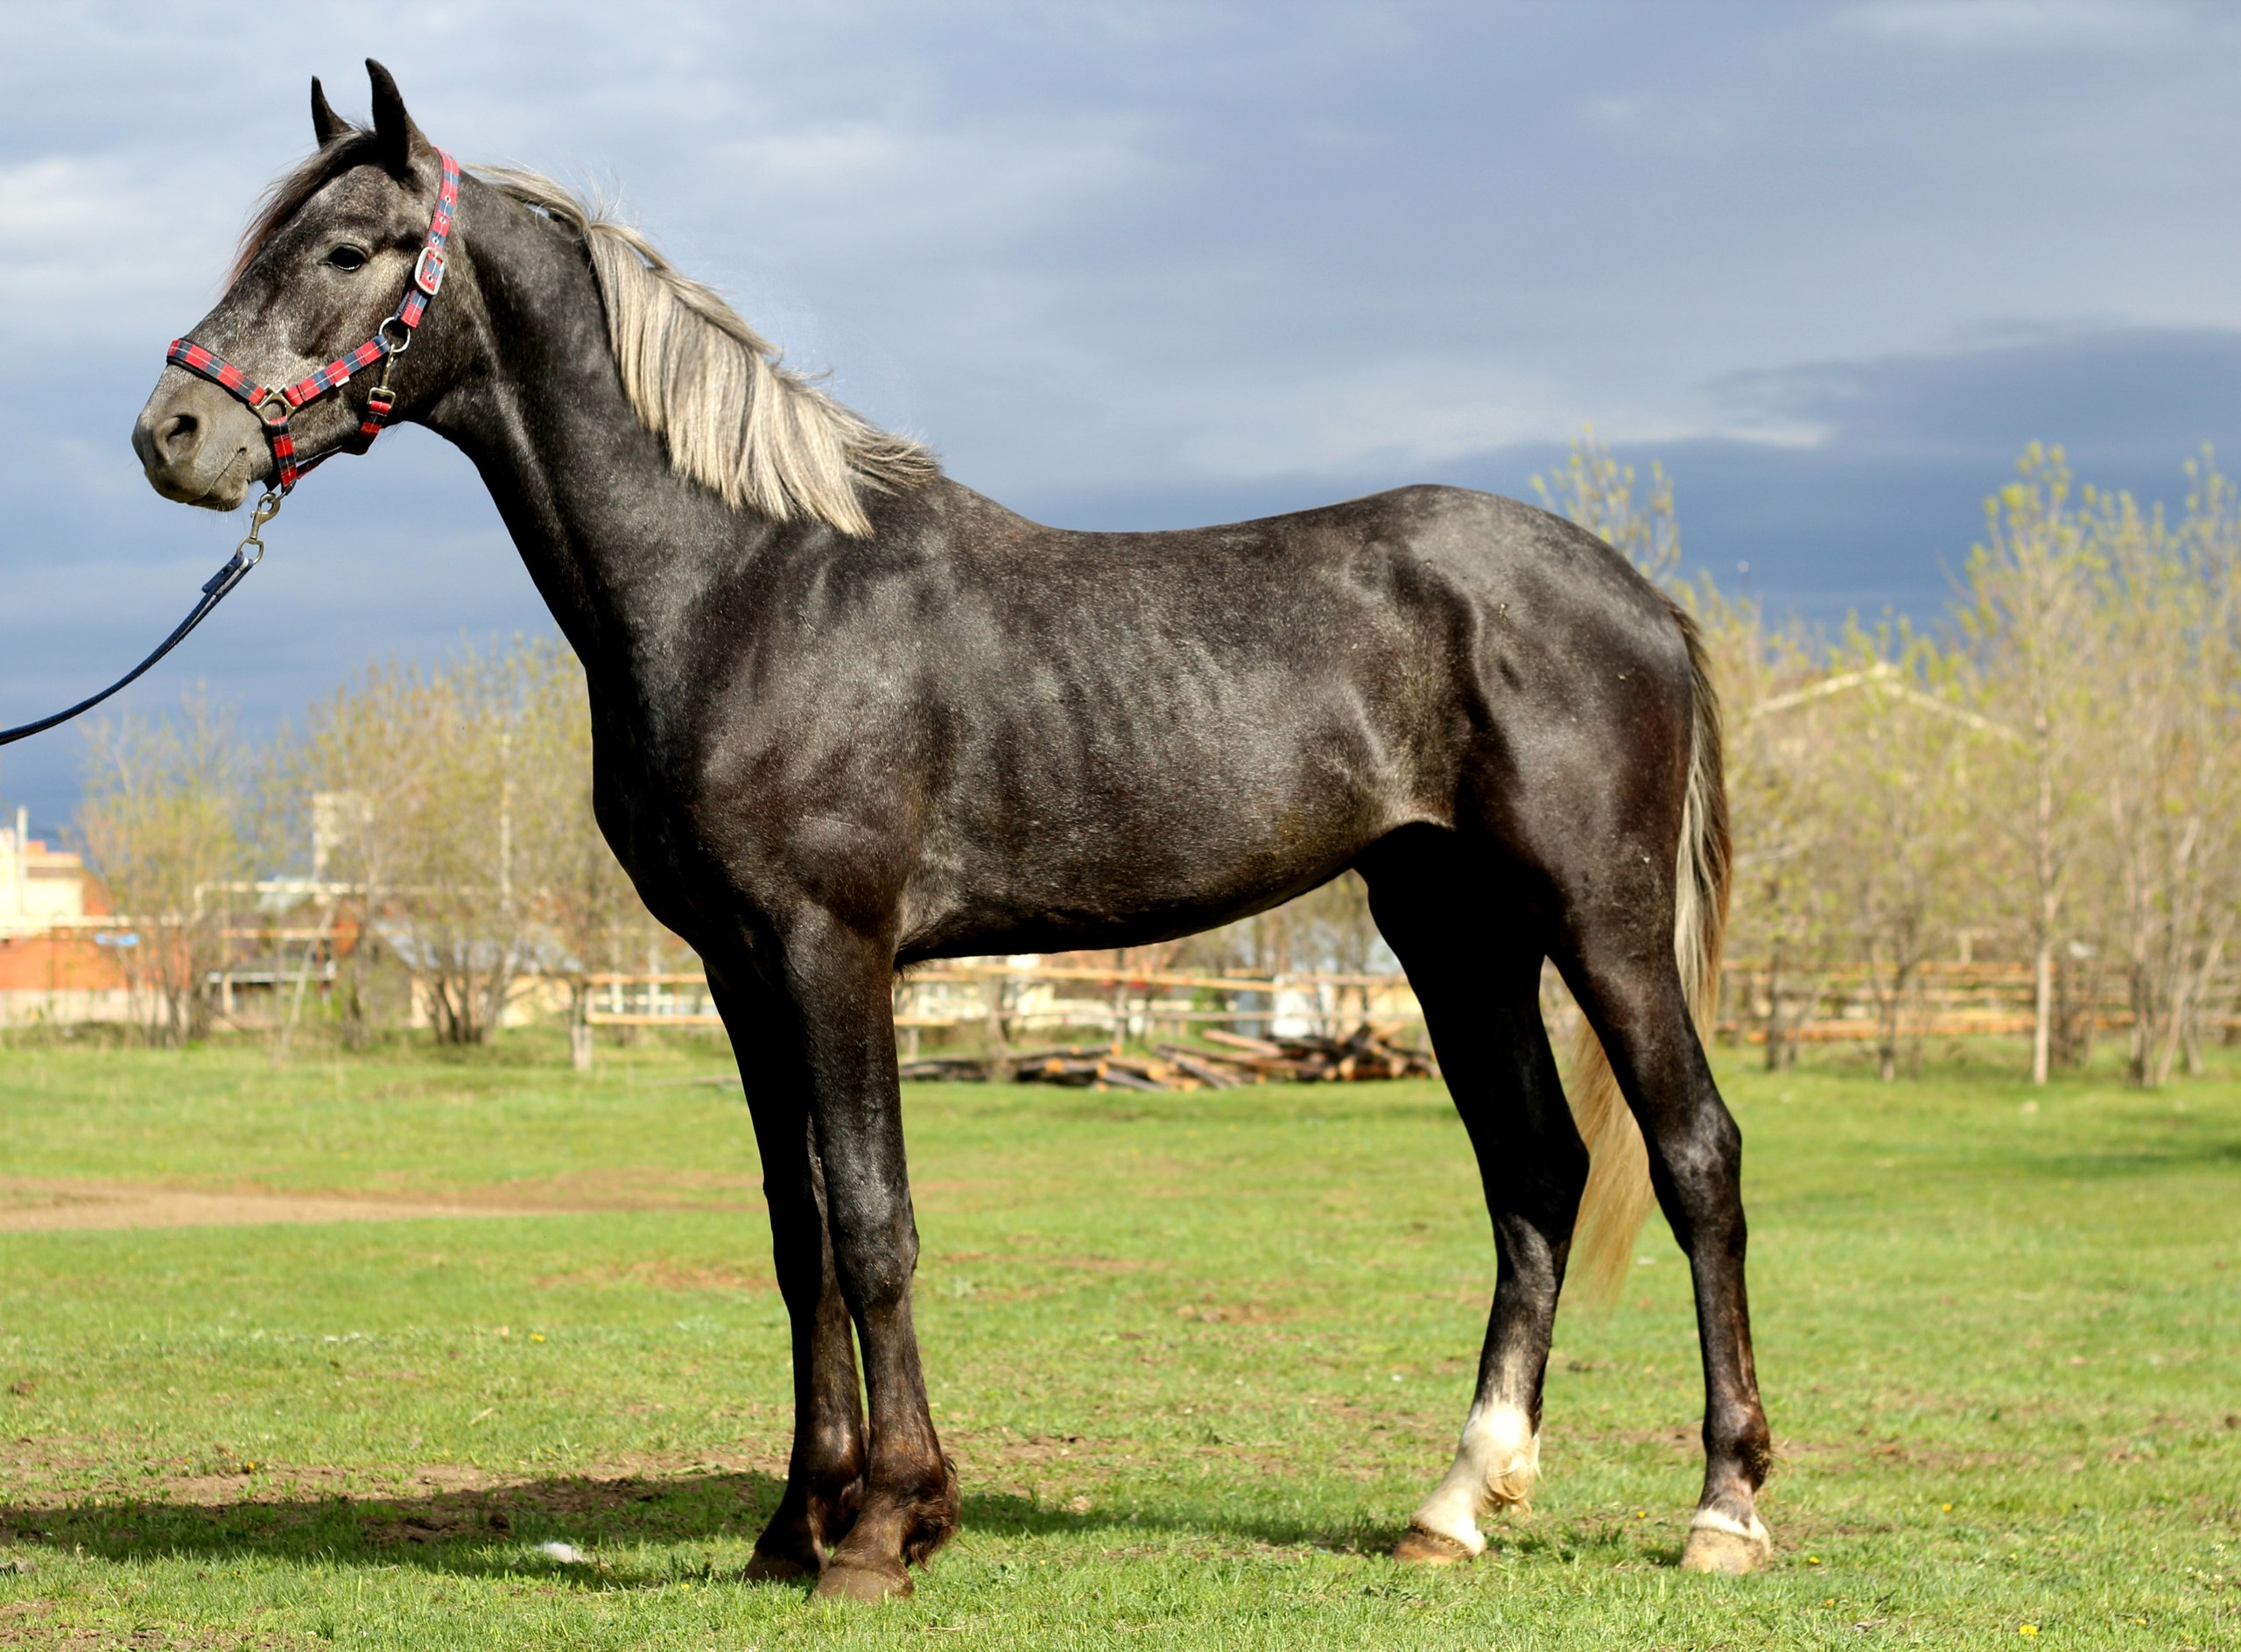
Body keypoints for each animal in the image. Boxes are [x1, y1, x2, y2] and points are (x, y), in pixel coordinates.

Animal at [130, 64, 1774, 1595]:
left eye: (348, 247)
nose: (172, 431)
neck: (748, 580)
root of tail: (1635, 594)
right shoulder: (739, 971)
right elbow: (797, 1238)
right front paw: (797, 1521)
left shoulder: (834, 947)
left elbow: (874, 1223)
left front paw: (886, 1526)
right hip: (1452, 927)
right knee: (1536, 1172)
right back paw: (1457, 1501)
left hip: (1600, 919)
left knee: (1692, 1152)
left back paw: (1724, 1508)